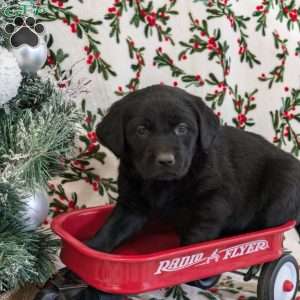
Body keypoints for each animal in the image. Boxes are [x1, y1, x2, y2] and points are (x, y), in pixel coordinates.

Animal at [85, 85, 300, 253]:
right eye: (141, 131)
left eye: (181, 128)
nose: (165, 160)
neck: (165, 185)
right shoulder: (131, 204)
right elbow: (110, 230)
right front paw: (89, 256)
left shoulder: (212, 202)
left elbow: (195, 242)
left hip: (283, 185)